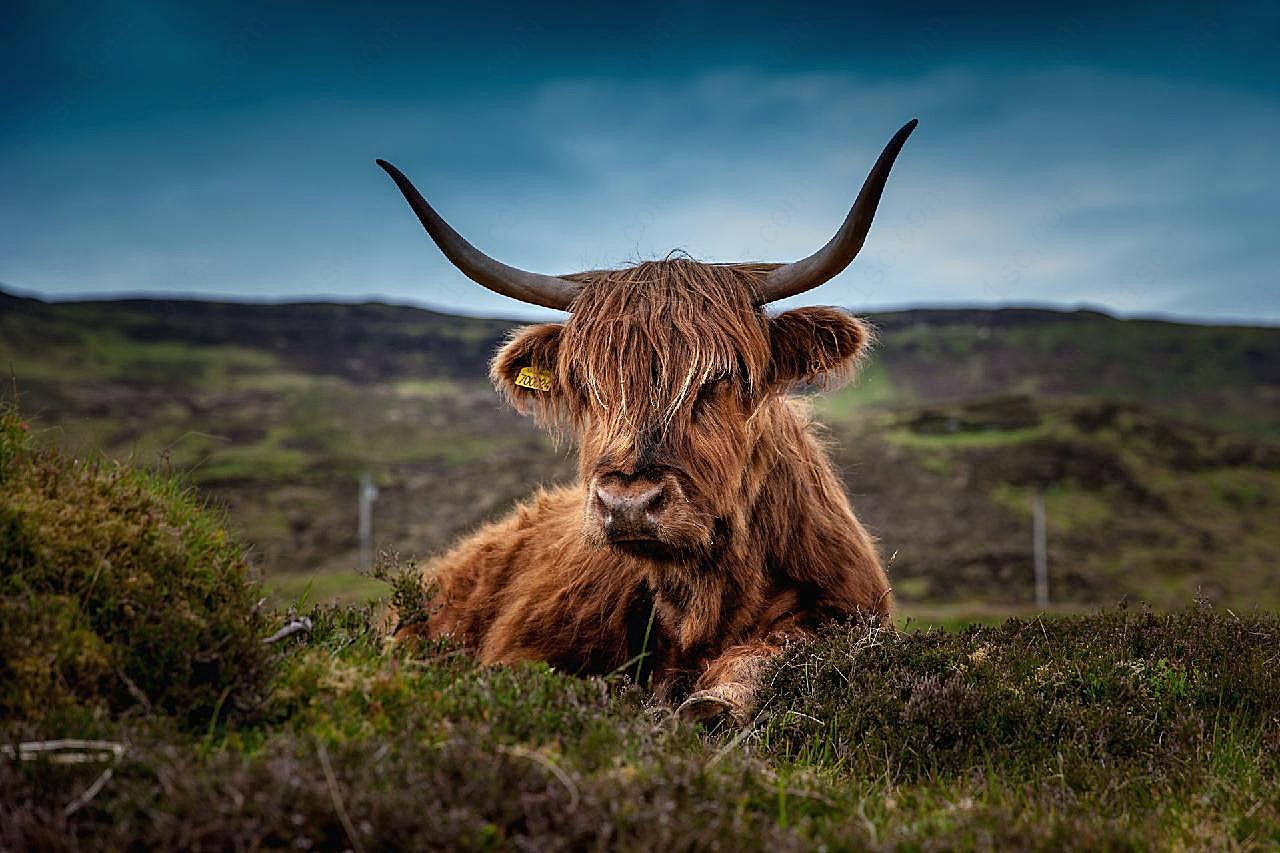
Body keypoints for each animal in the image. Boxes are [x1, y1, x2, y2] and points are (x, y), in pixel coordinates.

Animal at [373, 116, 916, 722]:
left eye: (721, 377)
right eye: (586, 385)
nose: (628, 504)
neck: (700, 598)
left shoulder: (844, 612)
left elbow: (774, 653)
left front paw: (712, 702)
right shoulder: (522, 651)